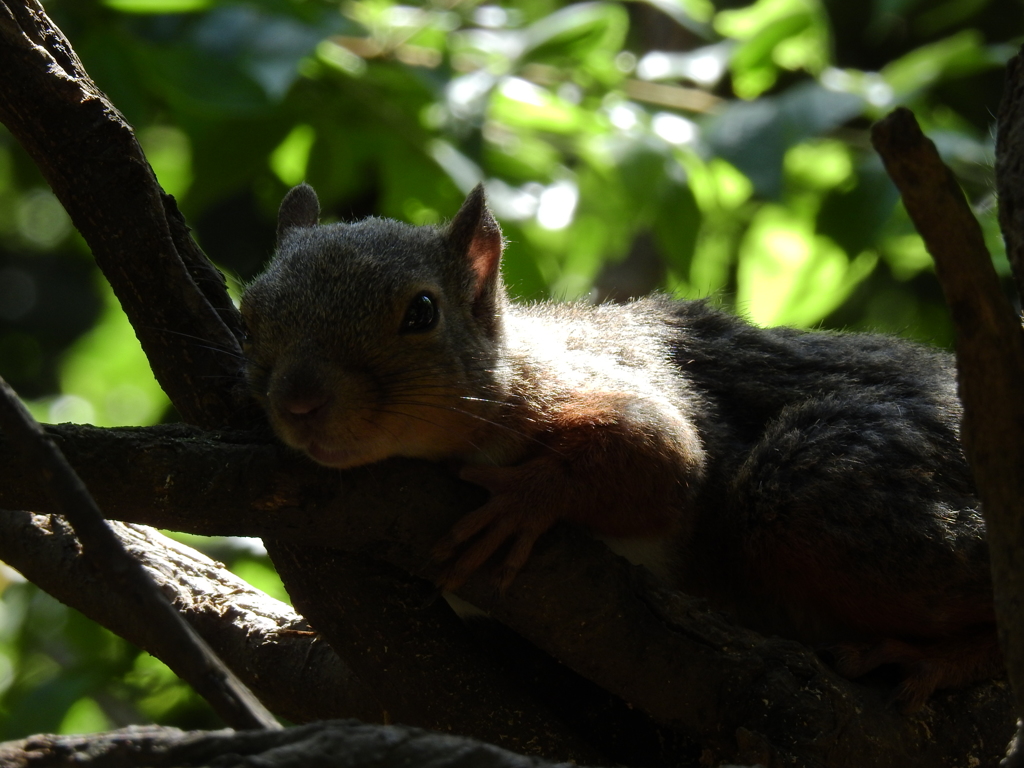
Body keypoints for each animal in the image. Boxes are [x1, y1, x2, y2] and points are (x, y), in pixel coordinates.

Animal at [239, 180, 999, 708]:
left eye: (421, 313)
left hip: (820, 487)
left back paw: (947, 656)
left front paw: (524, 501)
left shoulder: (598, 389)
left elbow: (661, 458)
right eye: (250, 309)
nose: (298, 401)